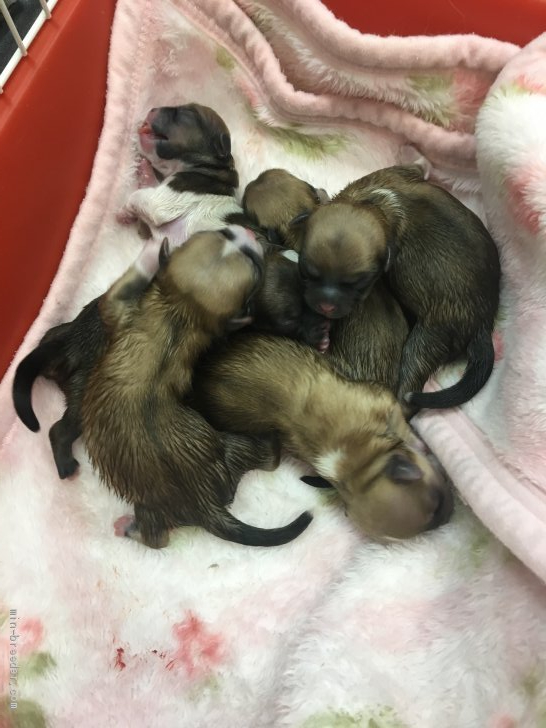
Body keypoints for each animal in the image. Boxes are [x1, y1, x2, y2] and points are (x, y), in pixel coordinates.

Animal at [81, 225, 311, 548]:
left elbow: (119, 290)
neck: (179, 314)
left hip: (151, 502)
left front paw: (151, 250)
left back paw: (126, 527)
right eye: (223, 233)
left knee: (157, 538)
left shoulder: (120, 310)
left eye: (255, 265)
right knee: (268, 457)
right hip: (232, 451)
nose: (248, 232)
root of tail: (205, 504)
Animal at [191, 334, 453, 541]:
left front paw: (417, 442)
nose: (448, 519)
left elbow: (401, 424)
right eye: (436, 508)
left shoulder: (384, 401)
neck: (360, 462)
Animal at [296, 163, 501, 410]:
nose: (326, 307)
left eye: (360, 284)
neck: (371, 200)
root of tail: (483, 324)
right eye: (306, 273)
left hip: (428, 339)